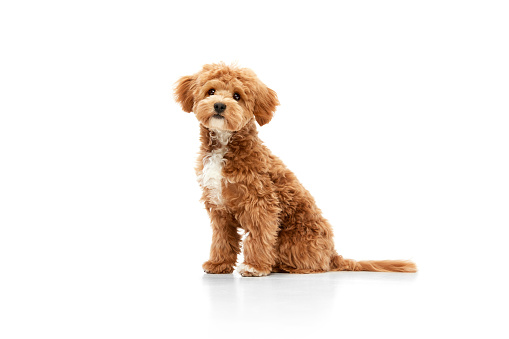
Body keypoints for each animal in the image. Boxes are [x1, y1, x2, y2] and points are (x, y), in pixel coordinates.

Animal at [173, 63, 414, 276]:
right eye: (211, 91)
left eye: (237, 96)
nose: (219, 106)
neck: (224, 146)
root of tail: (332, 254)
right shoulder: (218, 207)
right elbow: (222, 239)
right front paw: (218, 264)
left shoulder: (261, 204)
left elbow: (259, 236)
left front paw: (255, 267)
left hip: (292, 239)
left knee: (313, 265)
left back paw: (284, 267)